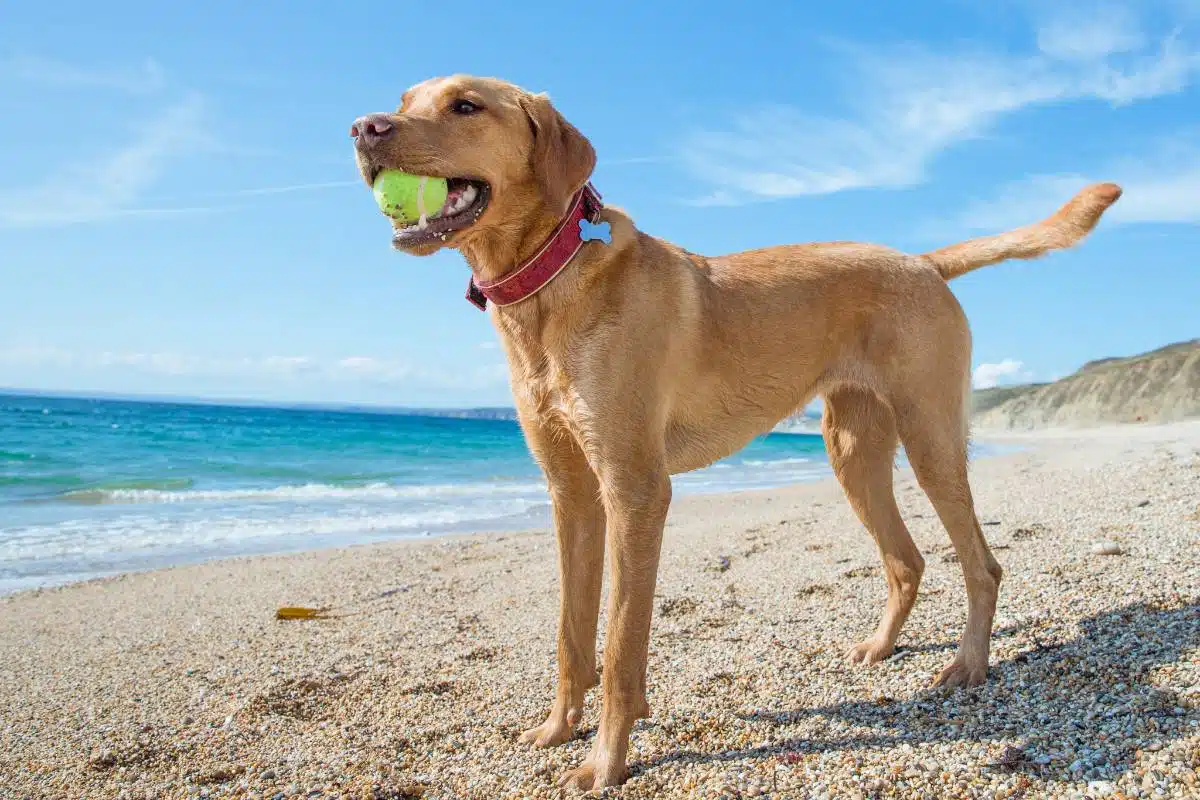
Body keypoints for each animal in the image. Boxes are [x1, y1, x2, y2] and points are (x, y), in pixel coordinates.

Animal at [350, 77, 1118, 791]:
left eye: (466, 106)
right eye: (405, 100)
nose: (363, 128)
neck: (551, 281)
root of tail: (924, 260)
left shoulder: (635, 491)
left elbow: (620, 646)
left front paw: (606, 761)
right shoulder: (571, 495)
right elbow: (572, 635)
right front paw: (558, 728)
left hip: (930, 440)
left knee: (981, 565)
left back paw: (968, 665)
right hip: (852, 451)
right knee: (906, 562)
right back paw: (879, 648)